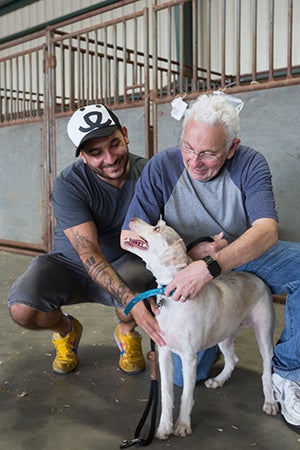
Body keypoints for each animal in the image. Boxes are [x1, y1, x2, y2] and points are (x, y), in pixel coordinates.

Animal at [123, 218, 278, 440]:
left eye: (157, 228)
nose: (133, 218)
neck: (172, 298)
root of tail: (256, 278)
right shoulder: (164, 354)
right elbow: (166, 394)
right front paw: (163, 427)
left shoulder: (189, 358)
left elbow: (187, 394)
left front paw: (182, 426)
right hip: (224, 334)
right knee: (232, 359)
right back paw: (218, 381)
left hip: (264, 333)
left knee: (266, 370)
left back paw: (270, 402)